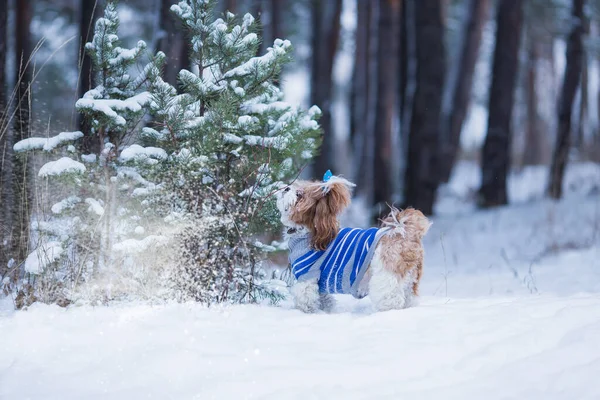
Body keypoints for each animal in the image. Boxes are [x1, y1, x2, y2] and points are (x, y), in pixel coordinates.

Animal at [276, 172, 432, 312]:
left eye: (299, 195)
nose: (286, 188)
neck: (310, 231)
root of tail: (403, 232)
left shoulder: (307, 275)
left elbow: (305, 299)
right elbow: (325, 299)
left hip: (386, 276)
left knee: (390, 299)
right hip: (411, 281)